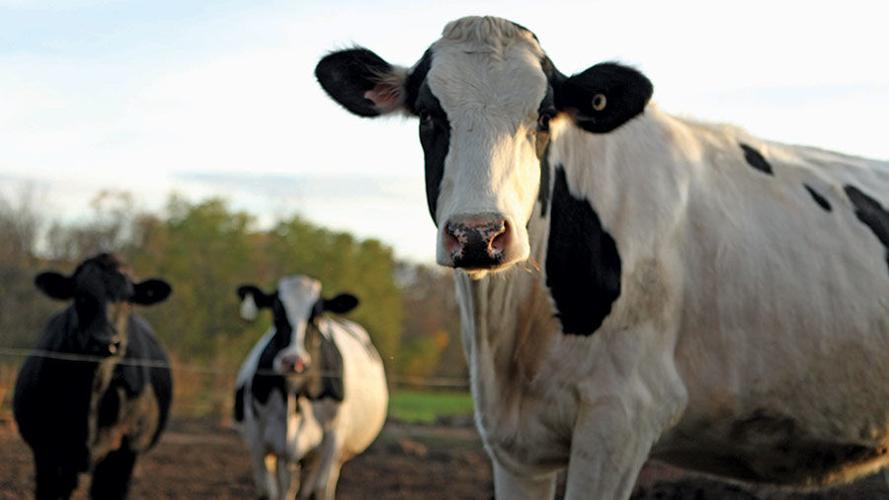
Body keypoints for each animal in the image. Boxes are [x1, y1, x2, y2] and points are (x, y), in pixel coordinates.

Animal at [233, 275, 388, 500]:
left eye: (317, 315)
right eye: (276, 312)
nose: (293, 361)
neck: (294, 393)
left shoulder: (332, 440)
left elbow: (318, 490)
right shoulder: (257, 440)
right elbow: (268, 492)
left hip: (332, 455)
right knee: (288, 486)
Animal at [315, 15, 889, 500]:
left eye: (544, 117)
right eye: (430, 115)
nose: (479, 235)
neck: (513, 332)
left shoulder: (622, 417)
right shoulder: (513, 446)